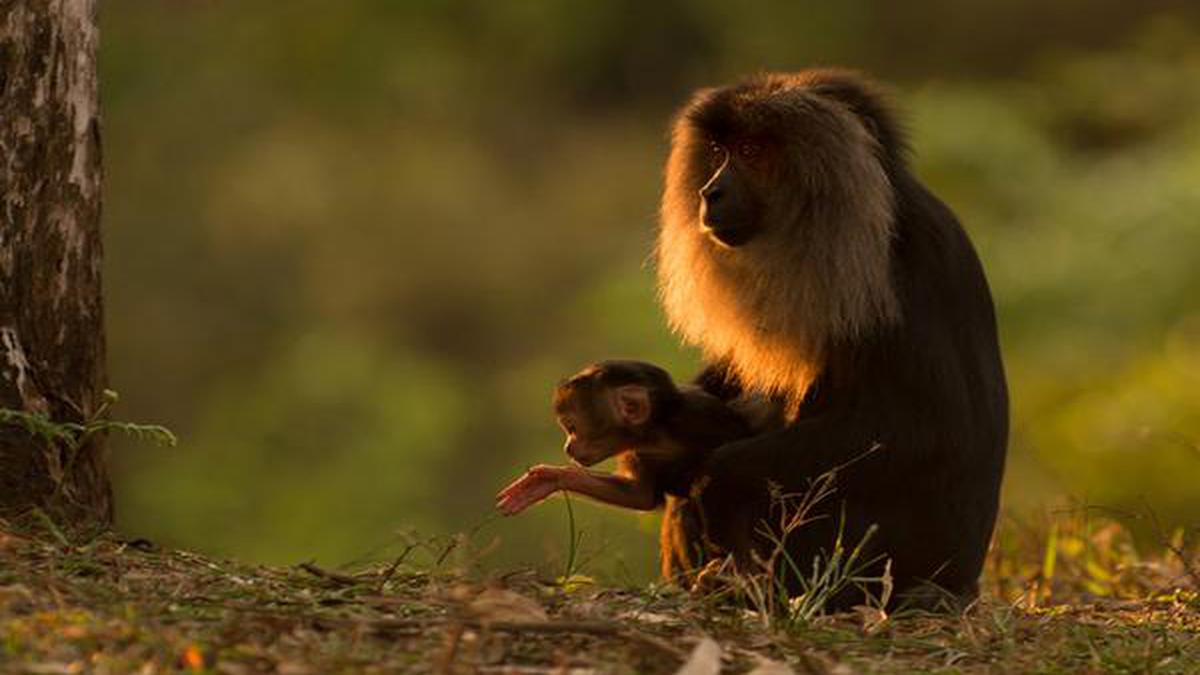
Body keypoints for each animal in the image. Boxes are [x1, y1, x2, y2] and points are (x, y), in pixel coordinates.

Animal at [494, 360, 748, 511]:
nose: (568, 448)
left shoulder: (699, 415)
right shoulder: (637, 452)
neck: (657, 435)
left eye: (572, 428)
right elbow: (639, 496)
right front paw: (552, 478)